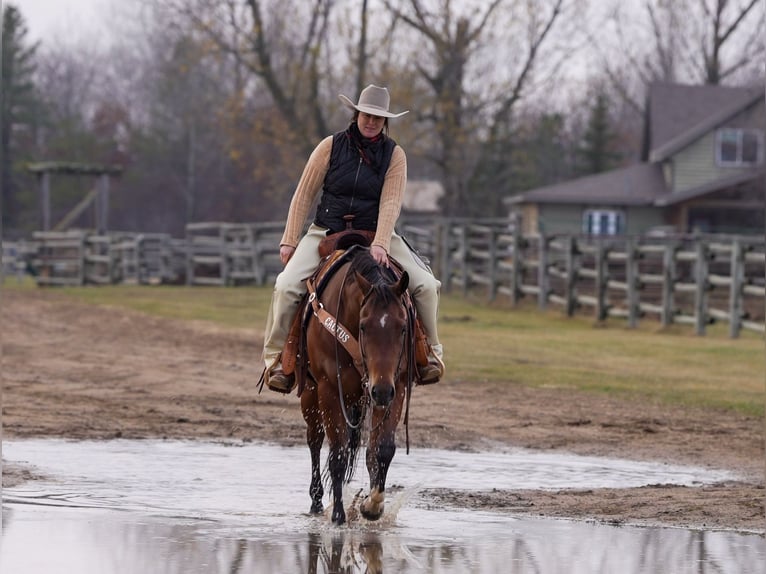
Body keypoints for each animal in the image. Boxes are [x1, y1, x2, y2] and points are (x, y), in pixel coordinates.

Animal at [300, 248, 414, 528]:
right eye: (364, 326)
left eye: (403, 328)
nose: (380, 390)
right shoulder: (330, 390)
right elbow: (338, 455)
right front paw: (339, 516)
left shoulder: (396, 387)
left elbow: (381, 449)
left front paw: (372, 505)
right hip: (310, 393)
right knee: (314, 439)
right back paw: (316, 500)